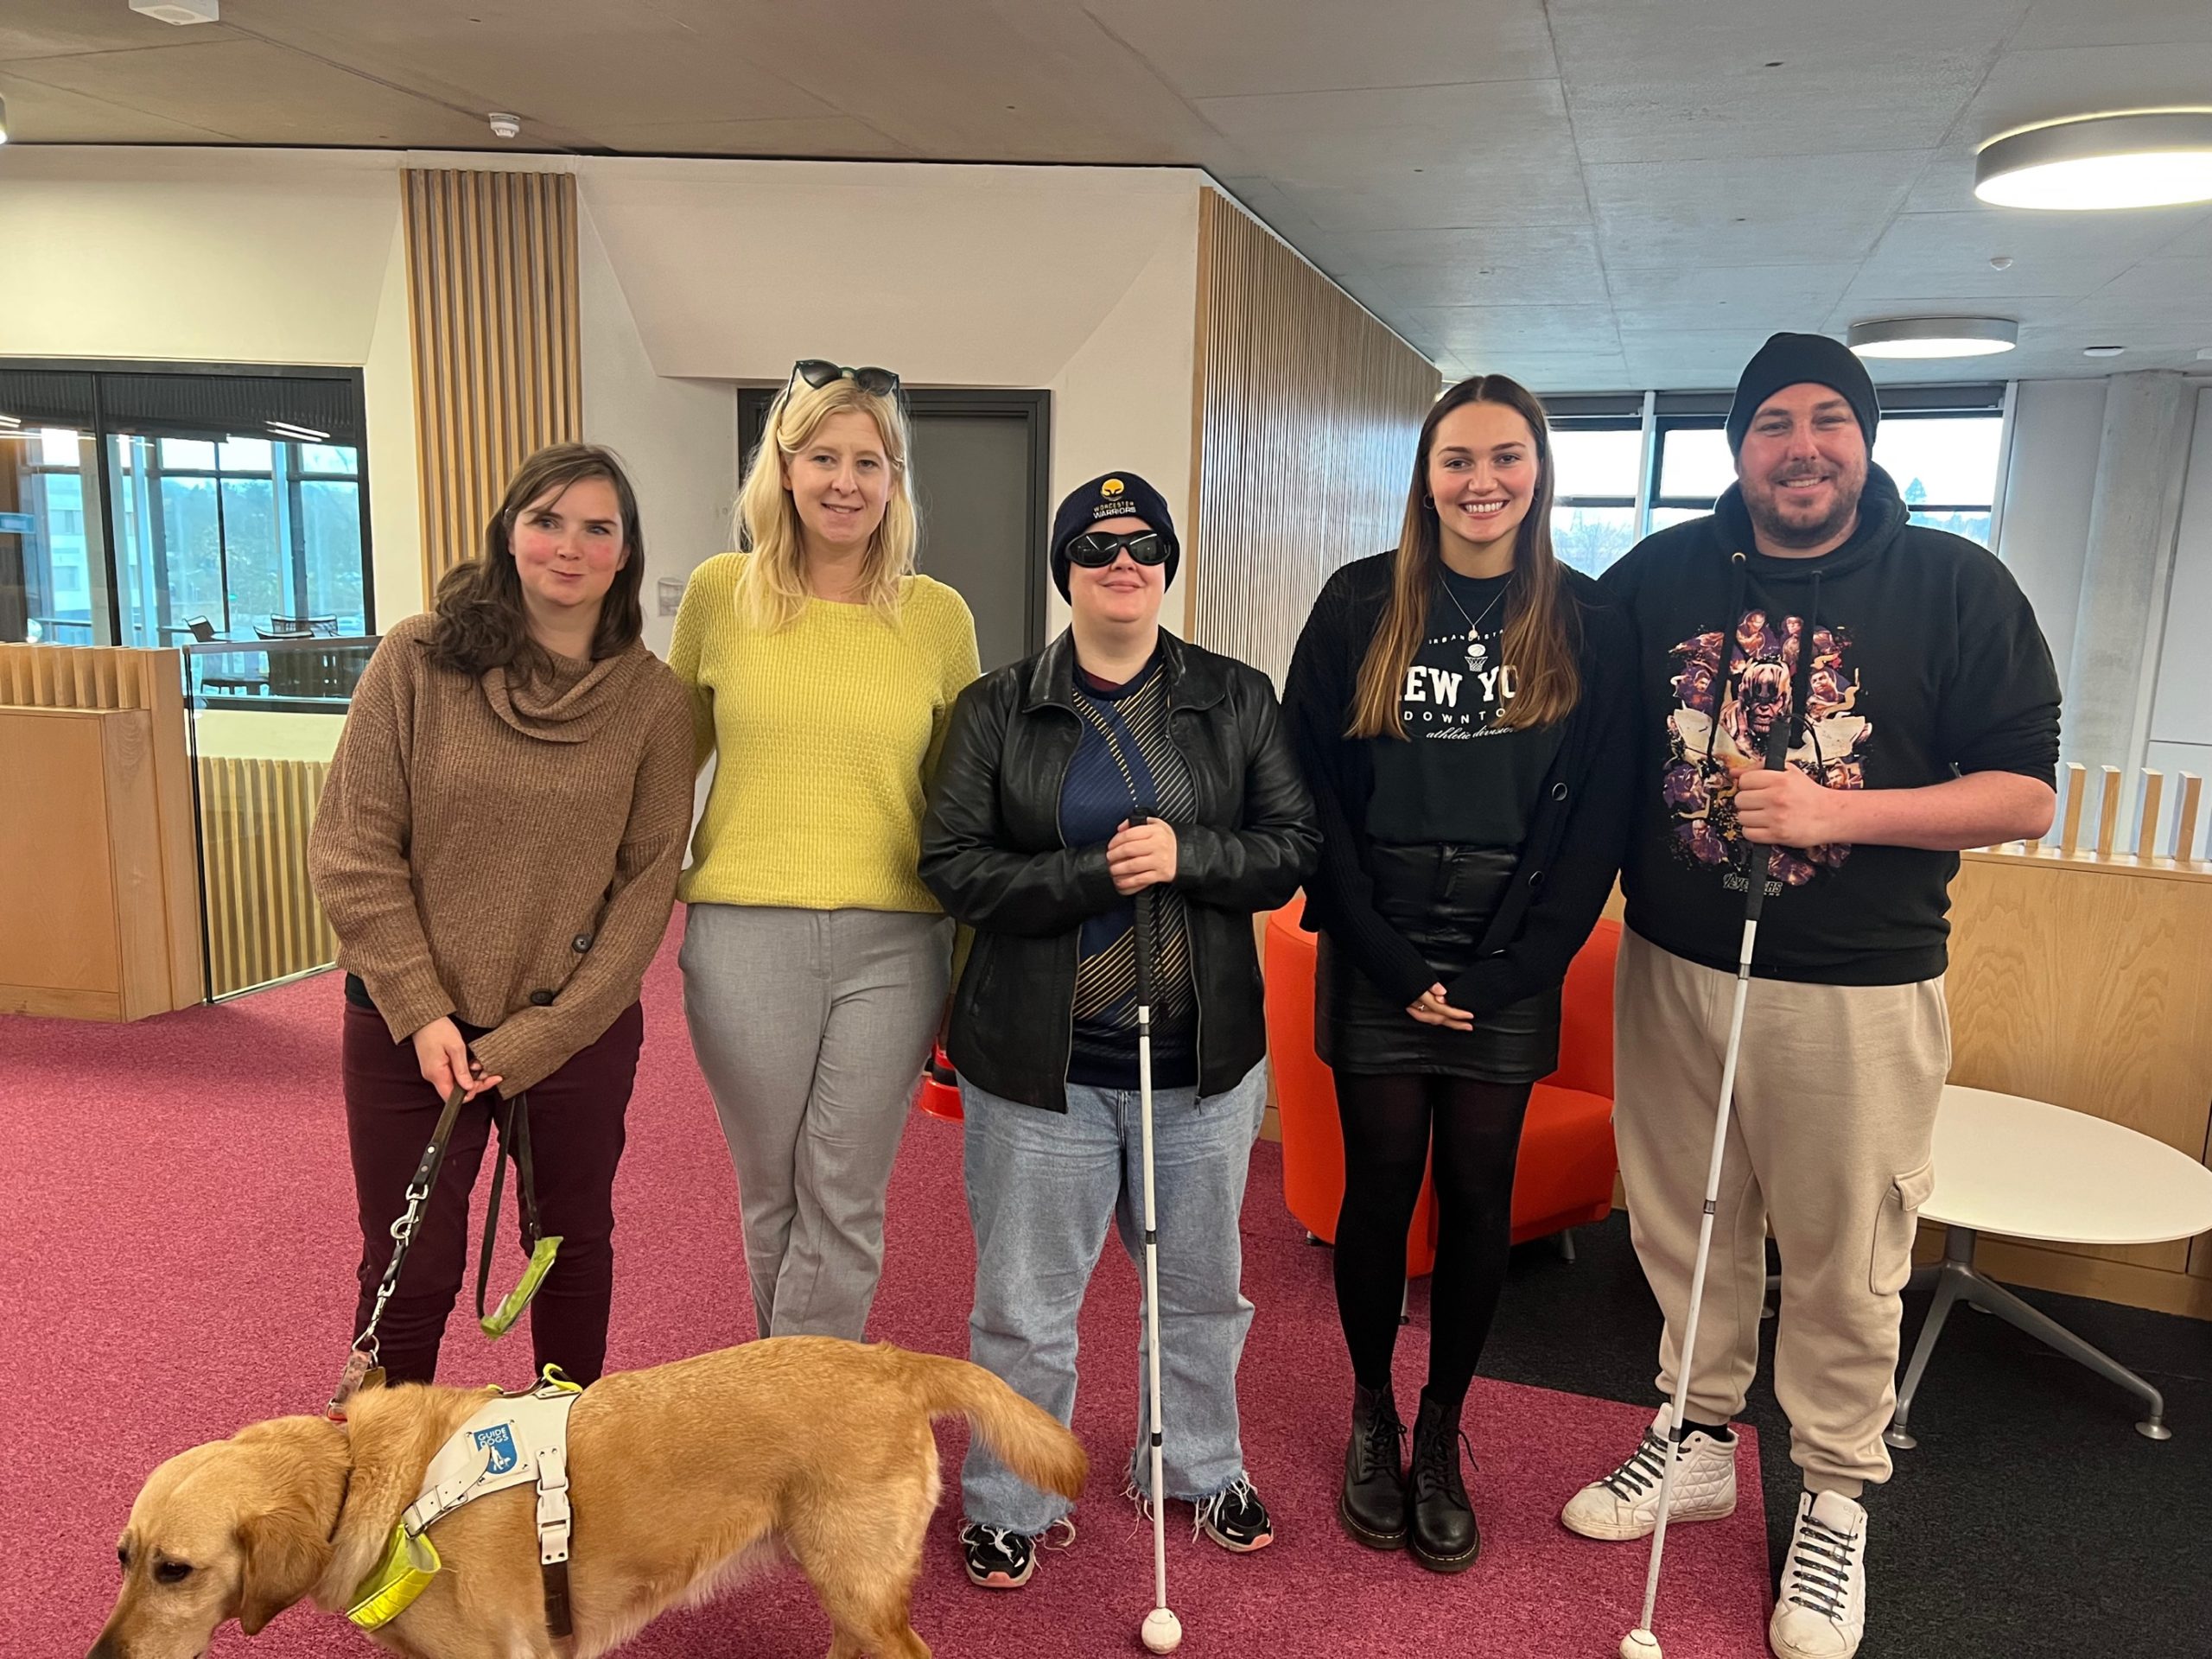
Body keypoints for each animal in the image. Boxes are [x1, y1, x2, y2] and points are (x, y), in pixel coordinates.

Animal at [88, 1344, 1088, 1659]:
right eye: (123, 1559)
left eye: (177, 1571)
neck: (364, 1479)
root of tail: (890, 1359)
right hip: (844, 1581)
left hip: (859, 1580)